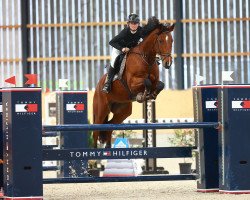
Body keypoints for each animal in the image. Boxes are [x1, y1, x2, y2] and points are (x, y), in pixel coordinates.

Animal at [93, 16, 175, 148]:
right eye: (161, 41)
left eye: (171, 41)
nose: (167, 64)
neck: (146, 58)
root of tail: (97, 86)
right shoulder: (132, 83)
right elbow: (146, 82)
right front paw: (143, 95)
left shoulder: (156, 81)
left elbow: (160, 85)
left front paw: (151, 95)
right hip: (101, 109)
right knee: (96, 131)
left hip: (123, 111)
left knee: (109, 128)